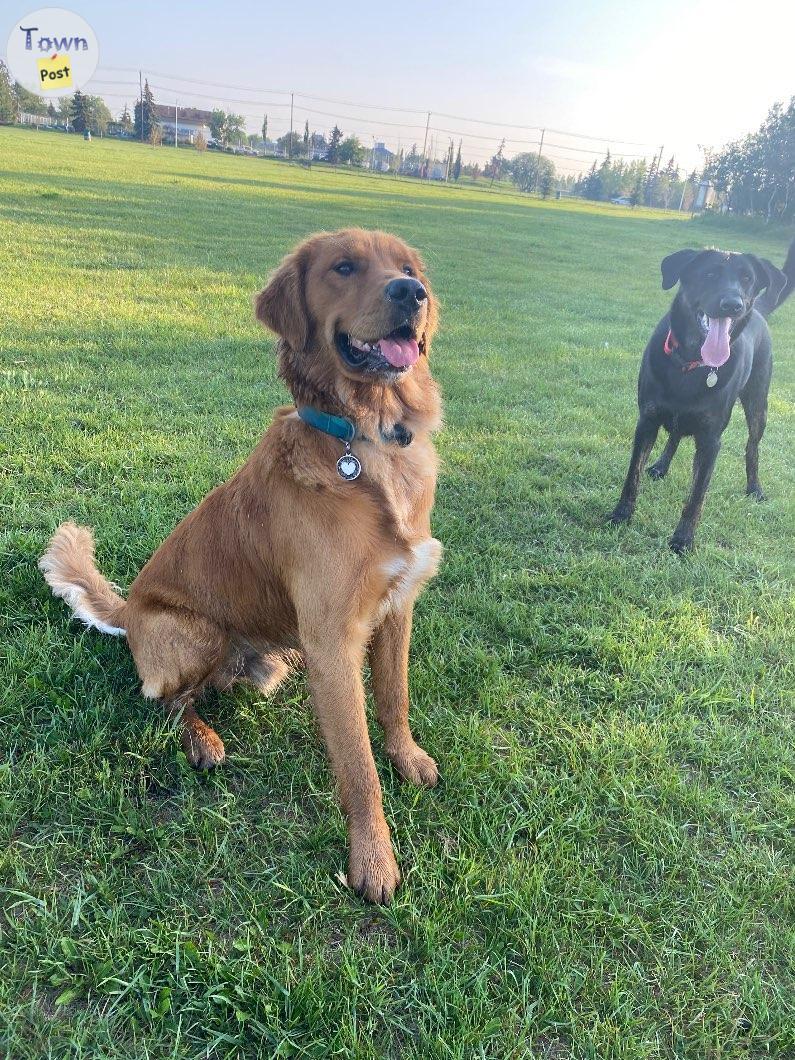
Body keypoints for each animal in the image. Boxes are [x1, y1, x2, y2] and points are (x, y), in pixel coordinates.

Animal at [614, 241, 792, 555]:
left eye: (747, 279)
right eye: (709, 274)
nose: (733, 304)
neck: (692, 361)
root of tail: (759, 309)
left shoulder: (711, 440)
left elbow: (697, 494)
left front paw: (683, 539)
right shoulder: (647, 421)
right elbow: (632, 474)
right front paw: (621, 515)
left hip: (758, 404)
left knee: (752, 447)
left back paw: (754, 488)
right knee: (674, 436)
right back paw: (661, 466)